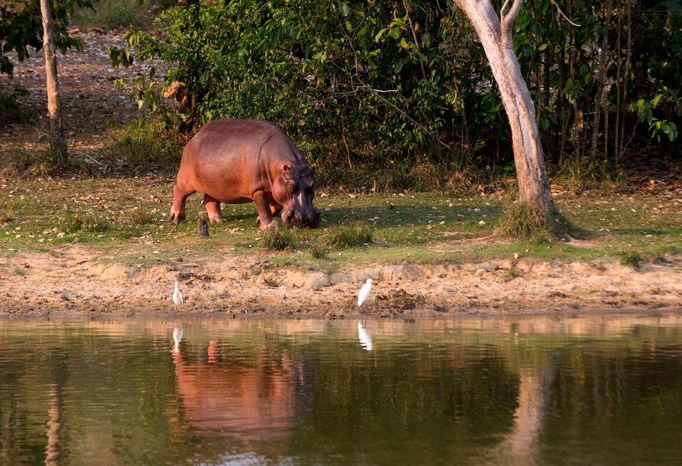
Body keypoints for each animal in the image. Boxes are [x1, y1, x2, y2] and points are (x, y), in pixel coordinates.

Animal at [170, 119, 318, 230]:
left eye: (312, 185)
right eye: (290, 186)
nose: (304, 219)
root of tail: (195, 136)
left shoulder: (273, 187)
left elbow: (276, 206)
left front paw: (259, 220)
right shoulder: (258, 189)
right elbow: (263, 207)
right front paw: (268, 227)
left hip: (213, 184)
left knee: (210, 200)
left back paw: (218, 220)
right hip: (186, 179)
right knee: (179, 191)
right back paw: (177, 218)